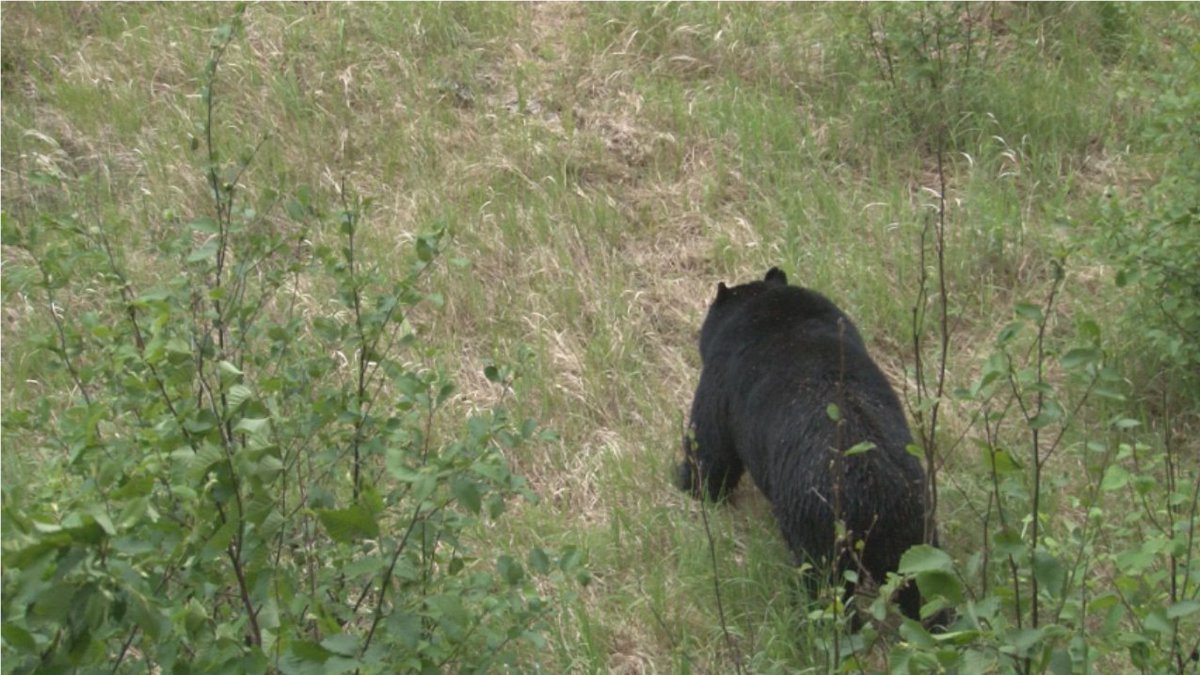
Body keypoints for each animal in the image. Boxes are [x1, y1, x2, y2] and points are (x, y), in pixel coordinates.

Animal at [677, 267, 932, 621]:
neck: (770, 306)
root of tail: (876, 494)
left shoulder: (721, 380)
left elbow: (710, 445)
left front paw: (690, 486)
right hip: (912, 531)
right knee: (925, 586)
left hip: (817, 525)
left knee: (825, 586)